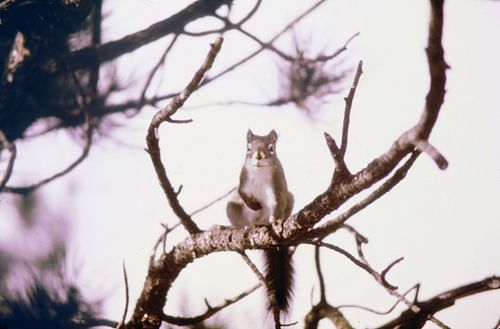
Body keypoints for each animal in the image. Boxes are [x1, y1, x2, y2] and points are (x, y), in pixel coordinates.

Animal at [226, 128, 292, 312]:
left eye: (271, 148)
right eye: (248, 147)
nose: (258, 156)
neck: (259, 171)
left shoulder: (278, 185)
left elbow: (278, 204)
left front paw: (275, 221)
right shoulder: (242, 179)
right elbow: (242, 193)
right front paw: (254, 204)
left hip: (290, 199)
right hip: (231, 208)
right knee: (245, 222)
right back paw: (243, 228)